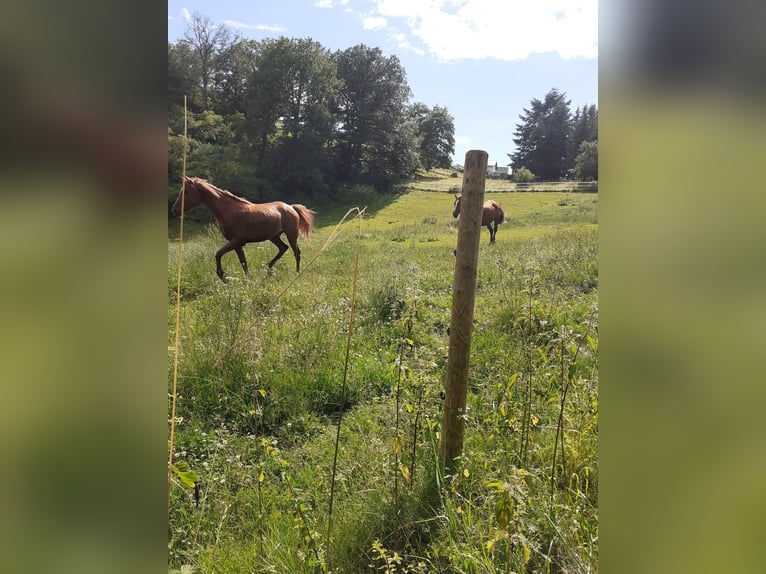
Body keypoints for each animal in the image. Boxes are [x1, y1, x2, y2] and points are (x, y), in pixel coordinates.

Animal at [172, 176, 316, 284]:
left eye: (186, 192)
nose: (174, 210)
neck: (230, 211)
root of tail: (290, 207)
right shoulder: (238, 244)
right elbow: (243, 263)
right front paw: (248, 280)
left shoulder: (237, 241)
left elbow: (218, 254)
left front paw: (223, 277)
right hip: (274, 237)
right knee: (283, 248)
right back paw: (268, 270)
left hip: (291, 235)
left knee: (296, 252)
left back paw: (296, 273)